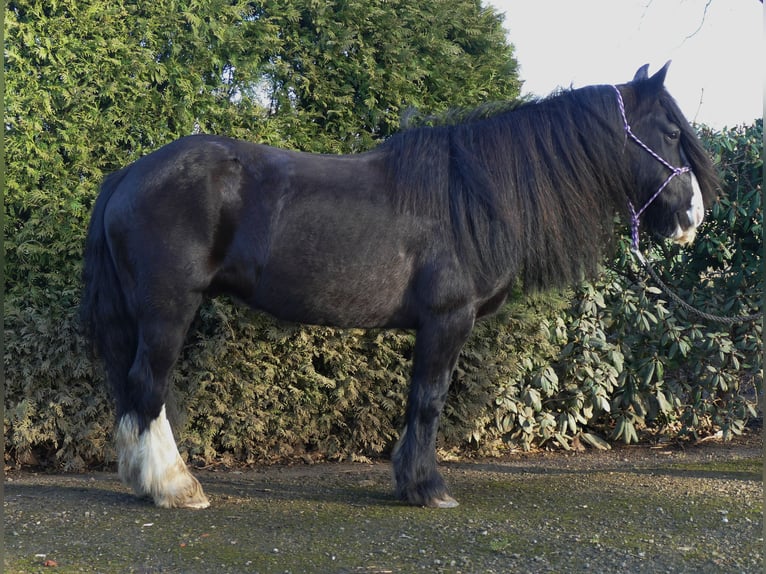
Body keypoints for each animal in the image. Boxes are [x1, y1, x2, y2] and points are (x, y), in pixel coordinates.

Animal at [82, 65, 720, 510]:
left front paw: (409, 481)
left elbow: (418, 401)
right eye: (670, 131)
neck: (477, 194)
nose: (693, 216)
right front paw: (427, 487)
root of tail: (128, 174)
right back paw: (175, 488)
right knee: (148, 386)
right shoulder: (448, 319)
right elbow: (429, 401)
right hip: (169, 309)